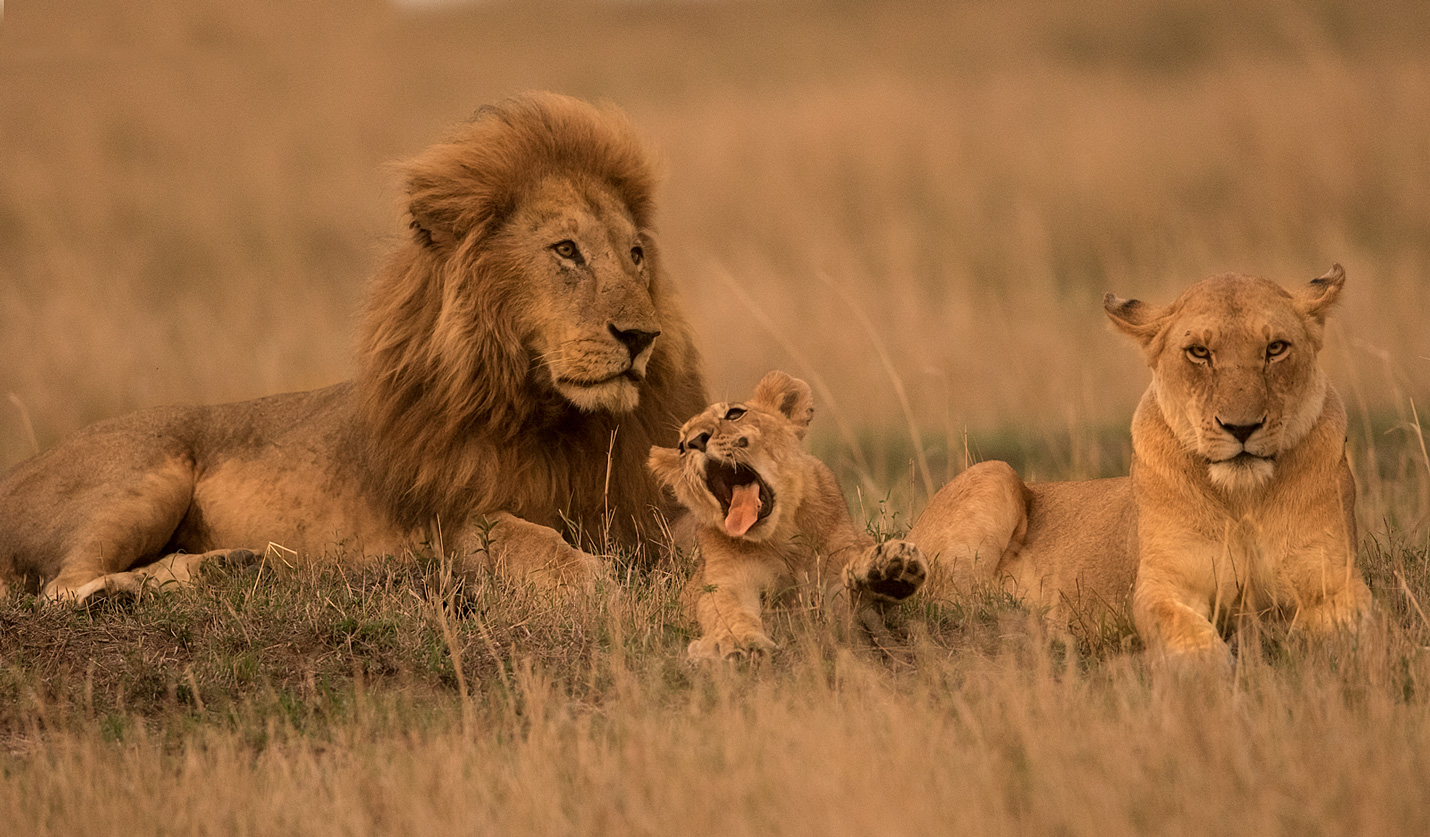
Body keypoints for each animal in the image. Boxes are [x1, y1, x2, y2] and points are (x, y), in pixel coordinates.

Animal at [0, 93, 709, 600]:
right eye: (566, 250)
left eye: (636, 255)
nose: (641, 337)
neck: (550, 414)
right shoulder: (452, 519)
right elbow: (536, 547)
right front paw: (601, 586)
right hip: (143, 474)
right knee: (60, 589)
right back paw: (165, 584)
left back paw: (228, 567)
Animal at [649, 369, 926, 658]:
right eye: (681, 446)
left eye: (734, 414)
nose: (694, 441)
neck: (782, 537)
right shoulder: (727, 579)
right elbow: (726, 608)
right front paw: (738, 642)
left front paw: (889, 570)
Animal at [909, 266, 1367, 658]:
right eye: (1199, 352)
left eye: (1275, 349)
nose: (1242, 427)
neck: (1243, 500)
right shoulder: (1163, 585)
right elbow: (1183, 630)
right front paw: (1208, 666)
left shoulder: (1336, 579)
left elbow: (1343, 626)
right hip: (994, 474)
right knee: (952, 605)